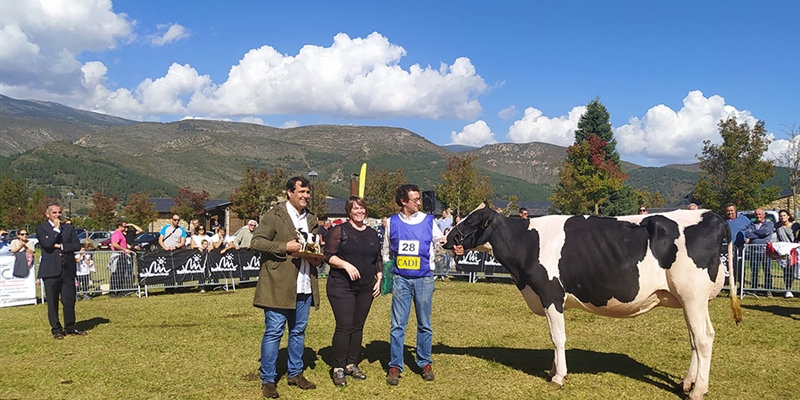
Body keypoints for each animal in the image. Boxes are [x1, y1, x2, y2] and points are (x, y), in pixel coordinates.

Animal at [440, 203, 740, 400]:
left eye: (470, 221)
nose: (445, 238)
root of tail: (713, 215)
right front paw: (553, 370)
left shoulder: (551, 294)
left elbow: (557, 337)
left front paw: (558, 377)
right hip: (690, 300)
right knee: (696, 338)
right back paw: (687, 383)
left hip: (693, 295)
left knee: (703, 338)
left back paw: (698, 390)